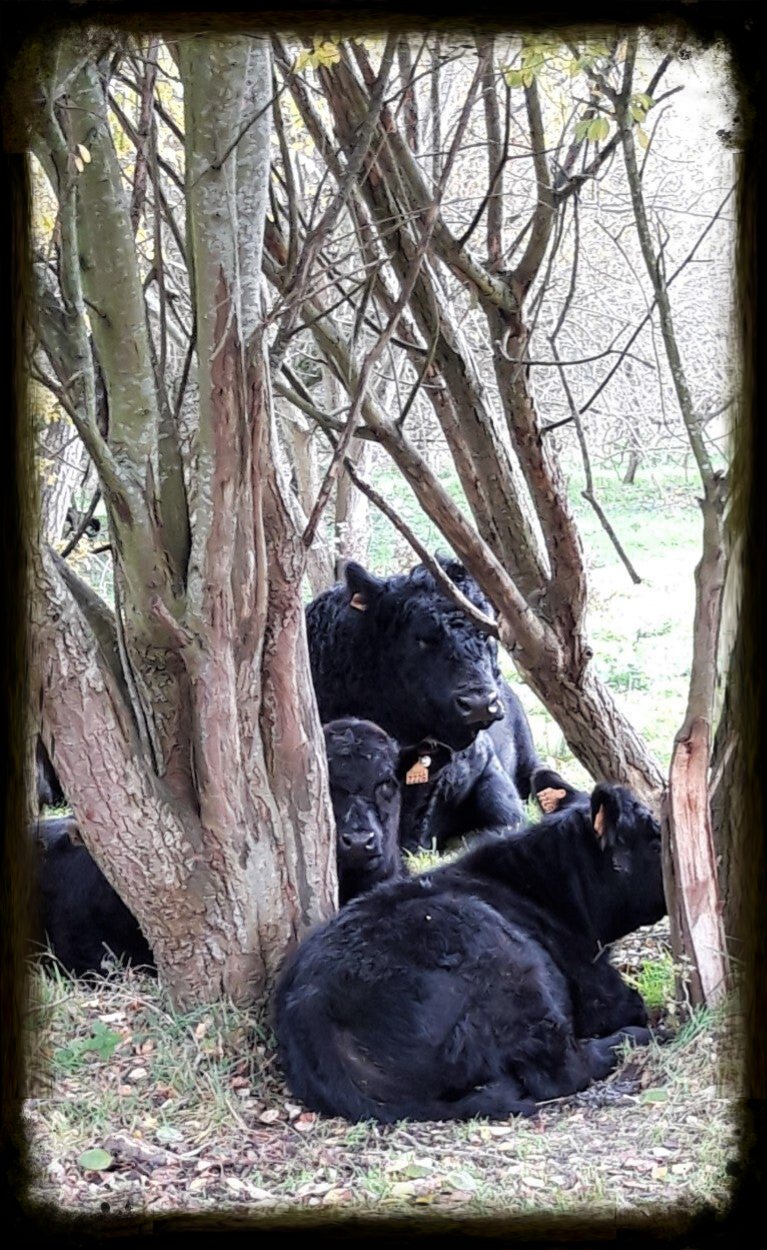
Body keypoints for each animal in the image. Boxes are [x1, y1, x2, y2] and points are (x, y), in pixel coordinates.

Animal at [275, 783, 666, 1124]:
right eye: (656, 840)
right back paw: (635, 1039)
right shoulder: (599, 992)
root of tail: (312, 1012)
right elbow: (632, 1004)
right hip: (507, 967)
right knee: (562, 1071)